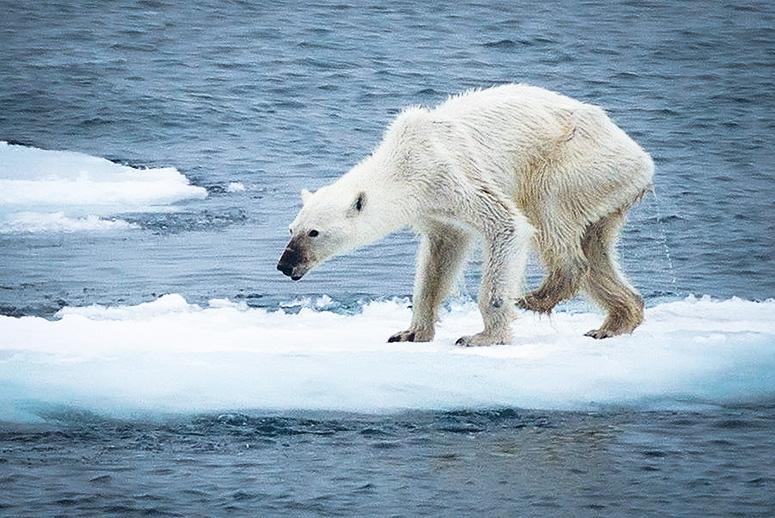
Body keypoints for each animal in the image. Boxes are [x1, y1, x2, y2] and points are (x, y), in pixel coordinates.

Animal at [278, 83, 656, 348]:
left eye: (314, 232)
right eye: (291, 229)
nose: (284, 264)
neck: (405, 162)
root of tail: (642, 159)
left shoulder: (450, 174)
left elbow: (507, 225)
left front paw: (483, 336)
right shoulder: (434, 208)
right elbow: (440, 257)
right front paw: (410, 332)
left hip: (576, 163)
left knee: (548, 210)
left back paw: (538, 296)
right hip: (607, 189)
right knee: (596, 248)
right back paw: (614, 322)